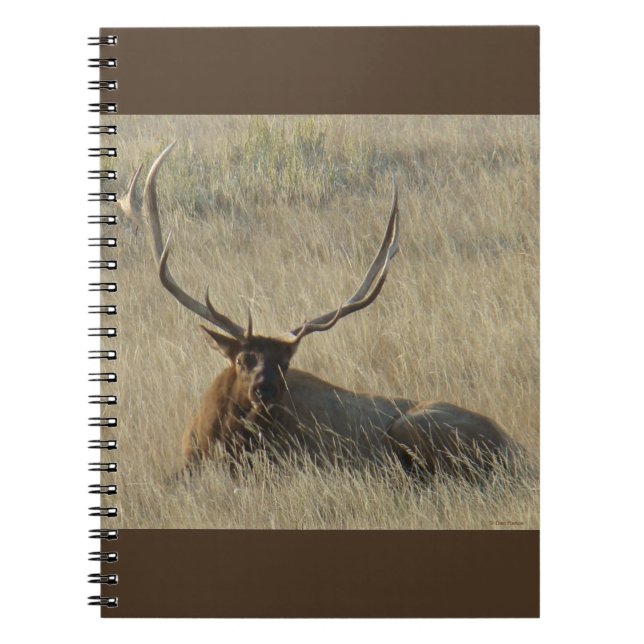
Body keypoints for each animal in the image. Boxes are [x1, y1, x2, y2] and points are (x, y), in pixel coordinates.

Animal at [119, 142, 518, 479]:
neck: (220, 441)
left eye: (286, 362)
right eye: (242, 359)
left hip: (415, 426)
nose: (266, 391)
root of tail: (518, 450)